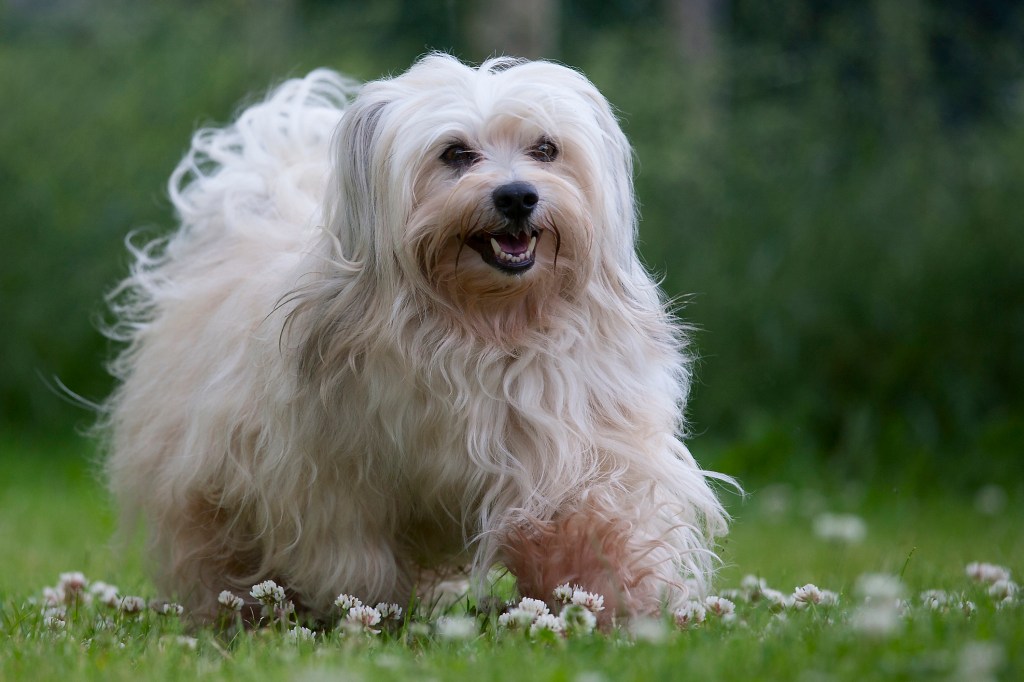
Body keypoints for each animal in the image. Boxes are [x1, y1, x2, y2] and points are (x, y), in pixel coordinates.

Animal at [101, 53, 729, 622]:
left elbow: (588, 518)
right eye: (455, 154)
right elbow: (351, 554)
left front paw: (613, 599)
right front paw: (364, 609)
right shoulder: (330, 474)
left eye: (546, 149)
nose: (517, 195)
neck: (483, 323)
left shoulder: (569, 436)